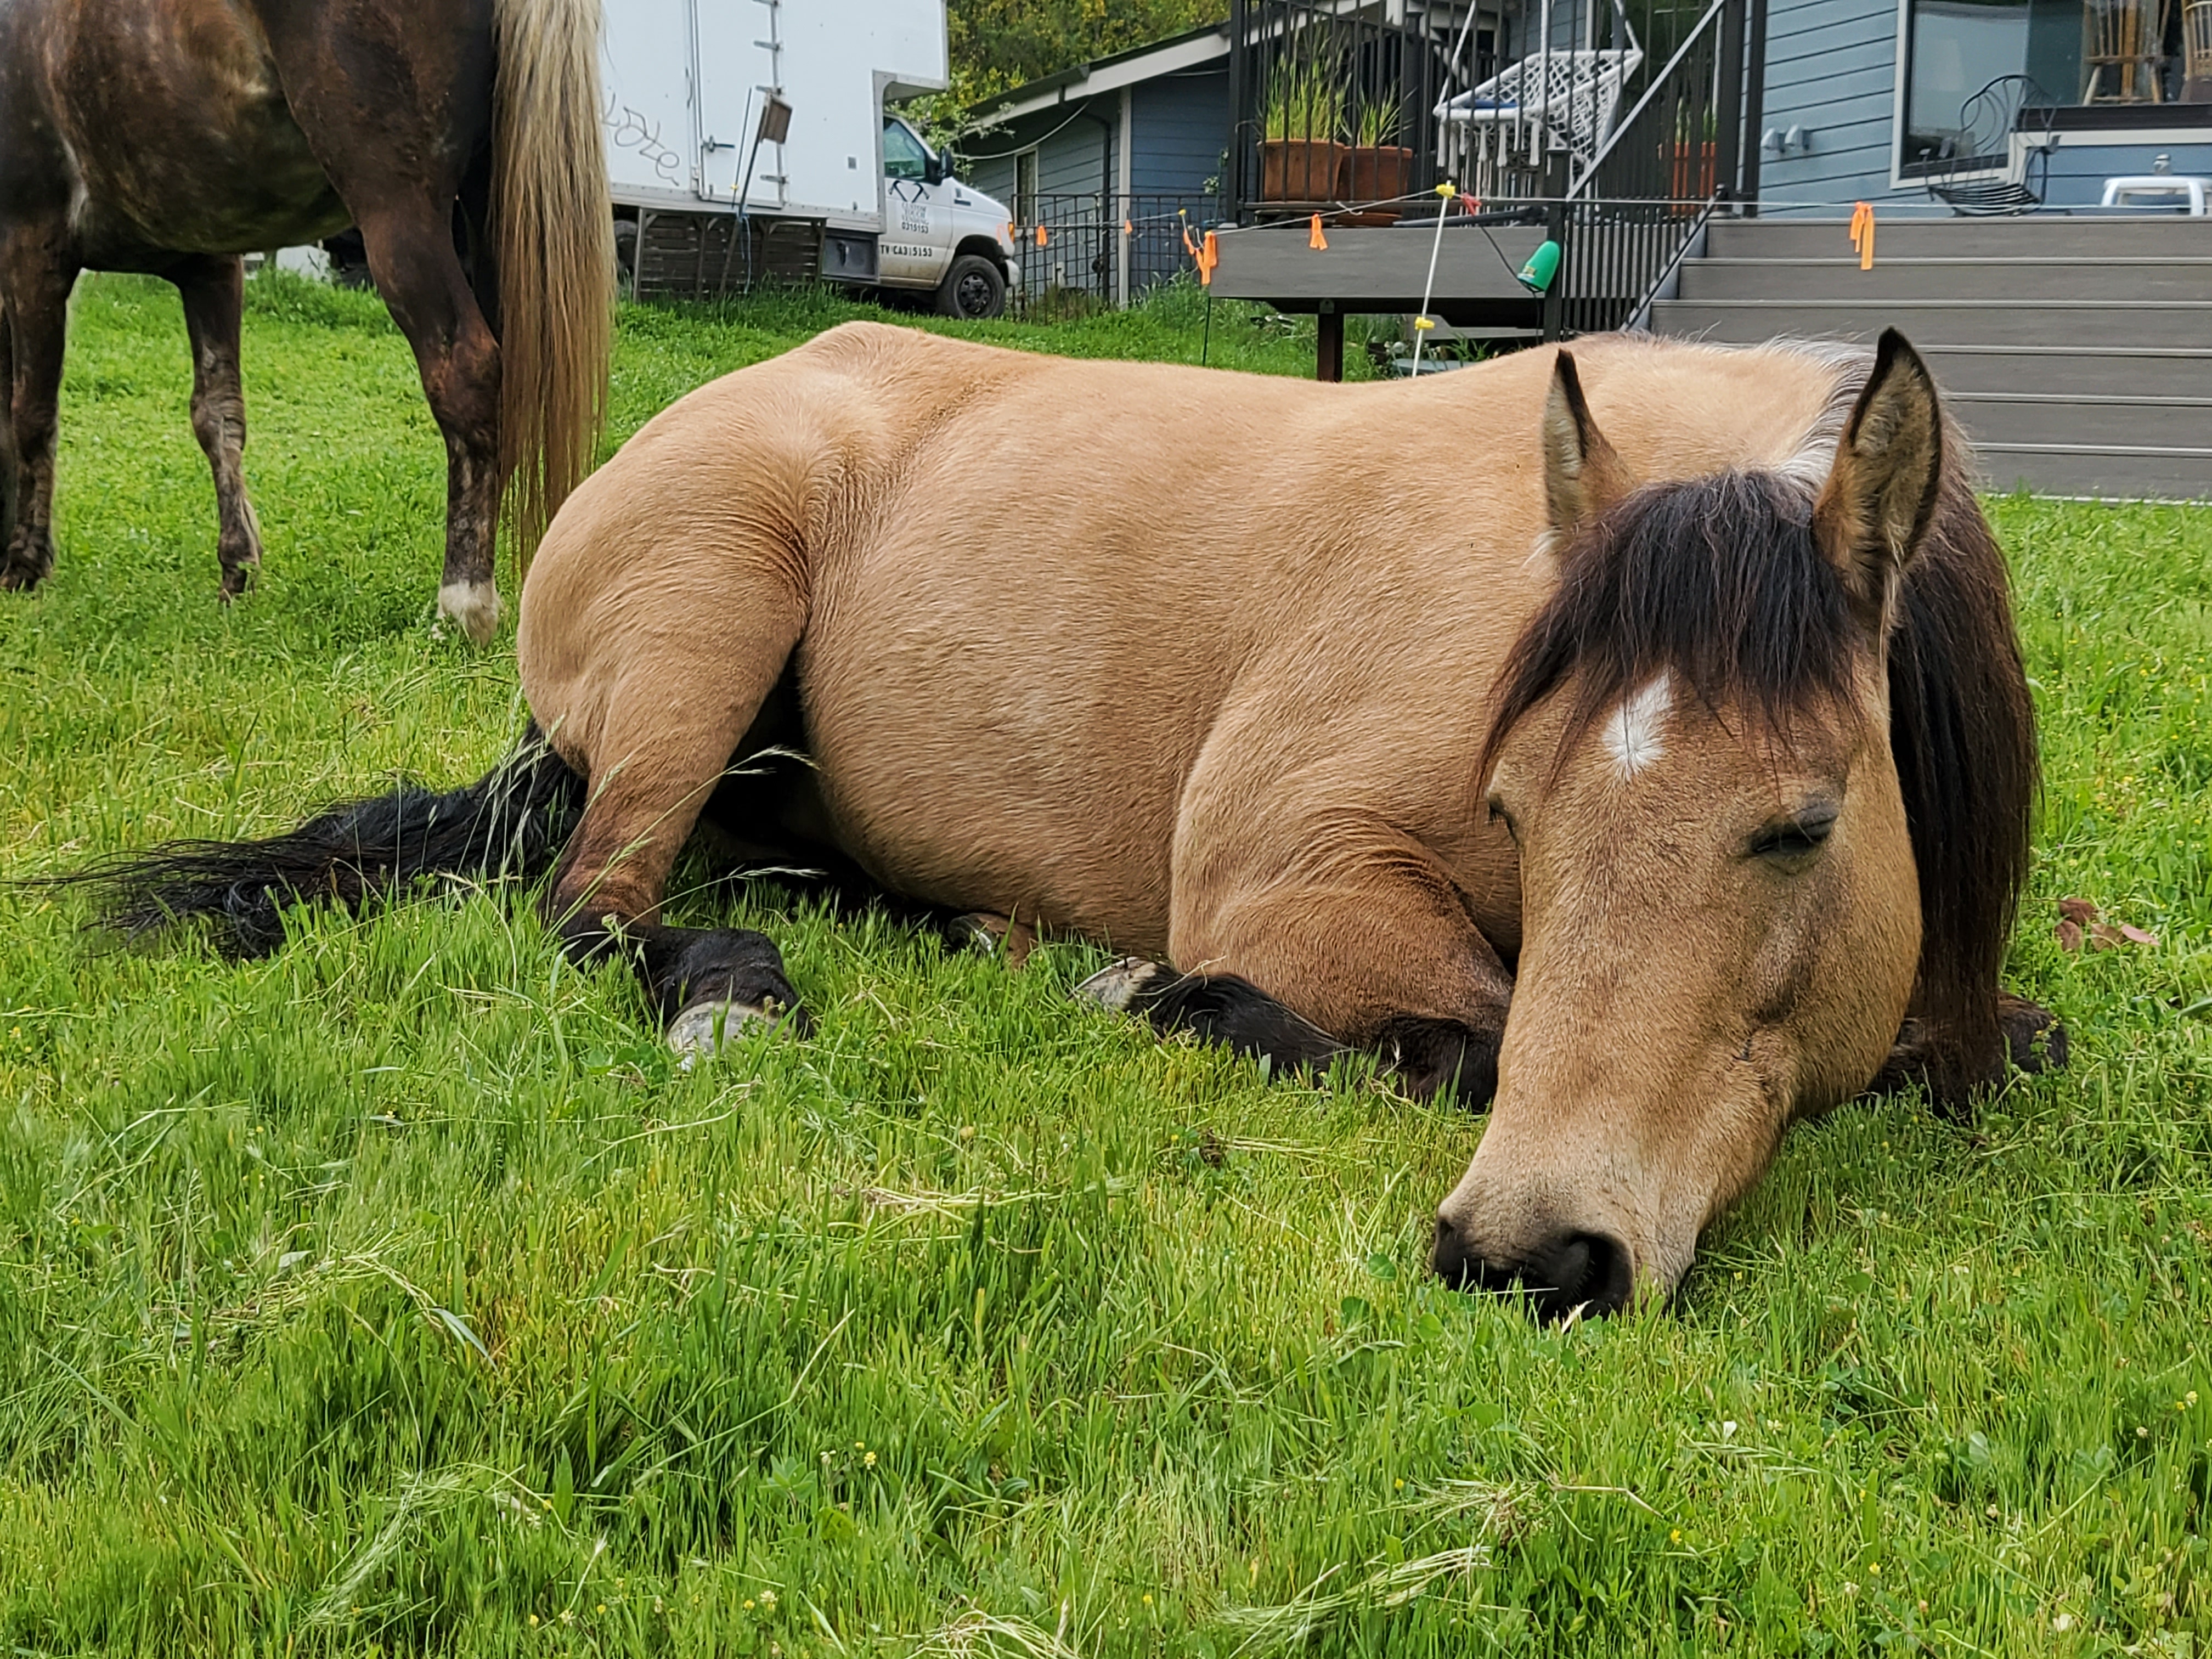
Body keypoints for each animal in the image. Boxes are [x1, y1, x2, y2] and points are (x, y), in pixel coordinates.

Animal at [0, 0, 613, 641]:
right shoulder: (210, 265)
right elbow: (218, 416)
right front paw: (237, 569)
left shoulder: (30, 247)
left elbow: (30, 414)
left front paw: (25, 563)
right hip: (501, 214)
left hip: (400, 216)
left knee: (465, 373)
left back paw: (463, 603)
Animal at [66, 323, 2066, 1315]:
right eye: (1517, 805)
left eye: (1800, 826)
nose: (1532, 1252)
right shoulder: (1291, 883)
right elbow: (1466, 1034)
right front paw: (1167, 997)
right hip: (709, 623)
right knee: (593, 911)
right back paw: (741, 993)